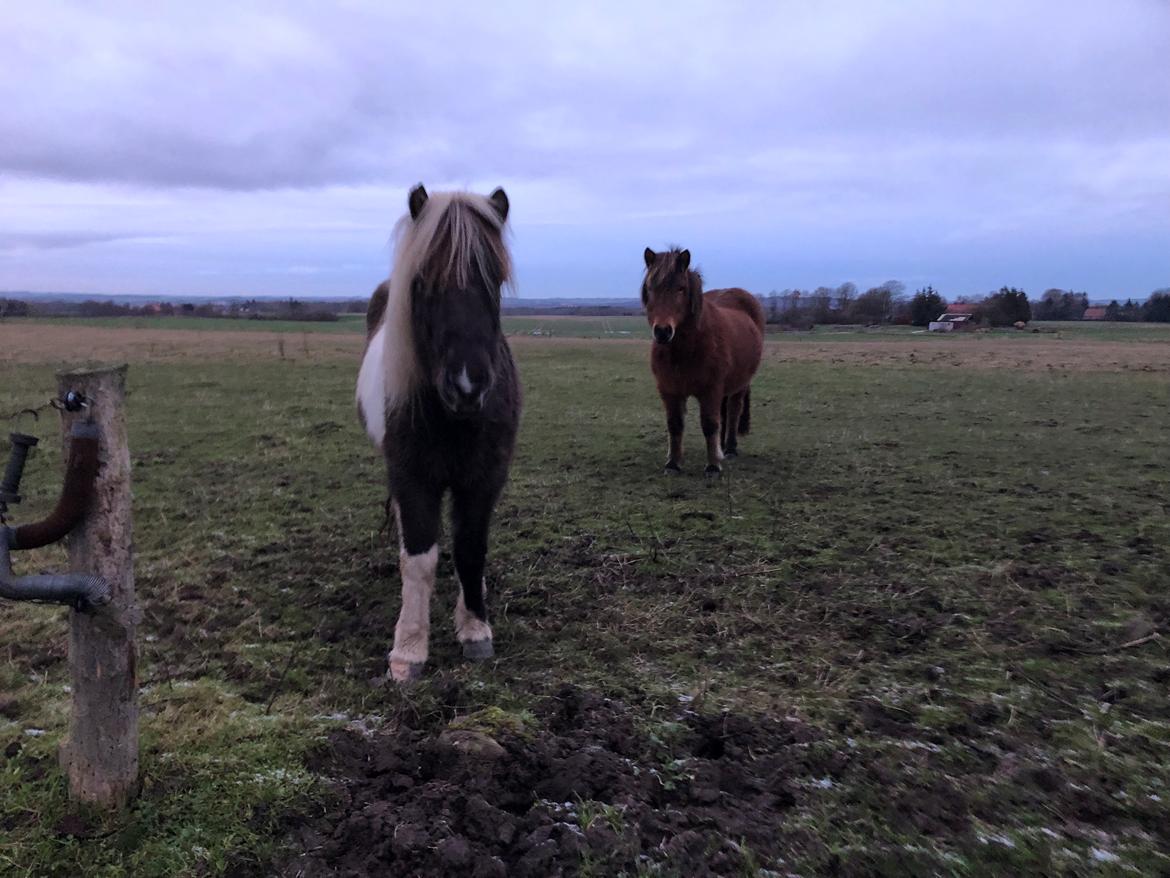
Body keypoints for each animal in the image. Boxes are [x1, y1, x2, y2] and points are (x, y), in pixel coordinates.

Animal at [355, 183, 521, 678]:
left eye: (495, 280)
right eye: (423, 281)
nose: (467, 384)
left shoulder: (485, 478)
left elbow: (470, 548)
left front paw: (475, 628)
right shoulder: (413, 479)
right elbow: (419, 559)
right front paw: (409, 649)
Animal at [641, 248, 767, 477]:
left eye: (681, 288)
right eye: (650, 287)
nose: (662, 331)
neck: (685, 350)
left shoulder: (711, 390)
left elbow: (709, 424)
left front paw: (713, 466)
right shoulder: (669, 390)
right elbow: (675, 424)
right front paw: (673, 463)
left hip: (740, 384)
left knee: (733, 410)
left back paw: (730, 448)